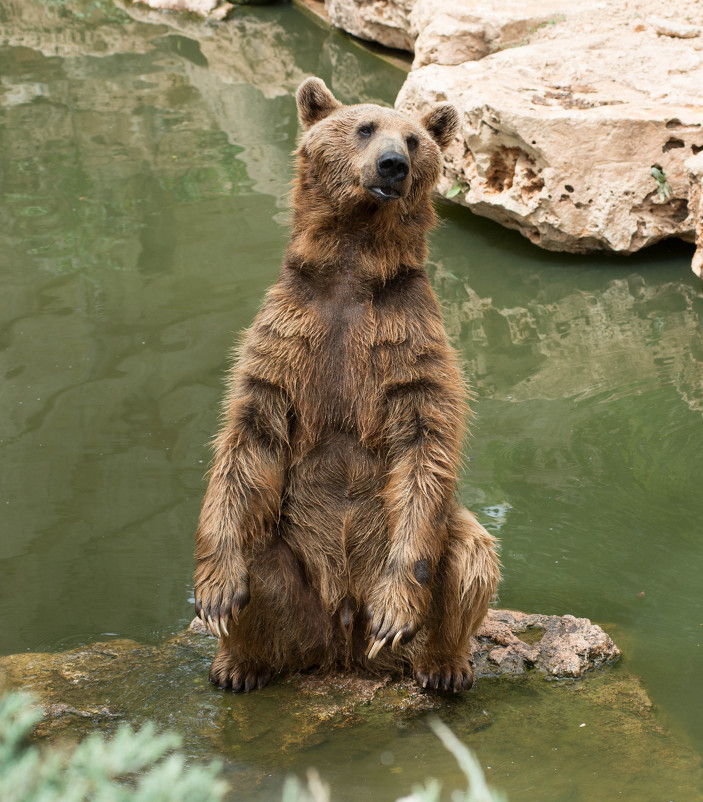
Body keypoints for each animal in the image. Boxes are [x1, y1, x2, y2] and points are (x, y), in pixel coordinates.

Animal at [192, 76, 500, 692]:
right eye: (363, 127)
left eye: (414, 138)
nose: (392, 165)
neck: (354, 268)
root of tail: (341, 646)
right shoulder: (290, 339)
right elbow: (248, 438)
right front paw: (213, 595)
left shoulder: (405, 346)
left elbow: (425, 444)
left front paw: (398, 616)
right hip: (293, 576)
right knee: (259, 555)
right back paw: (238, 663)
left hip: (406, 566)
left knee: (471, 553)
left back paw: (443, 665)